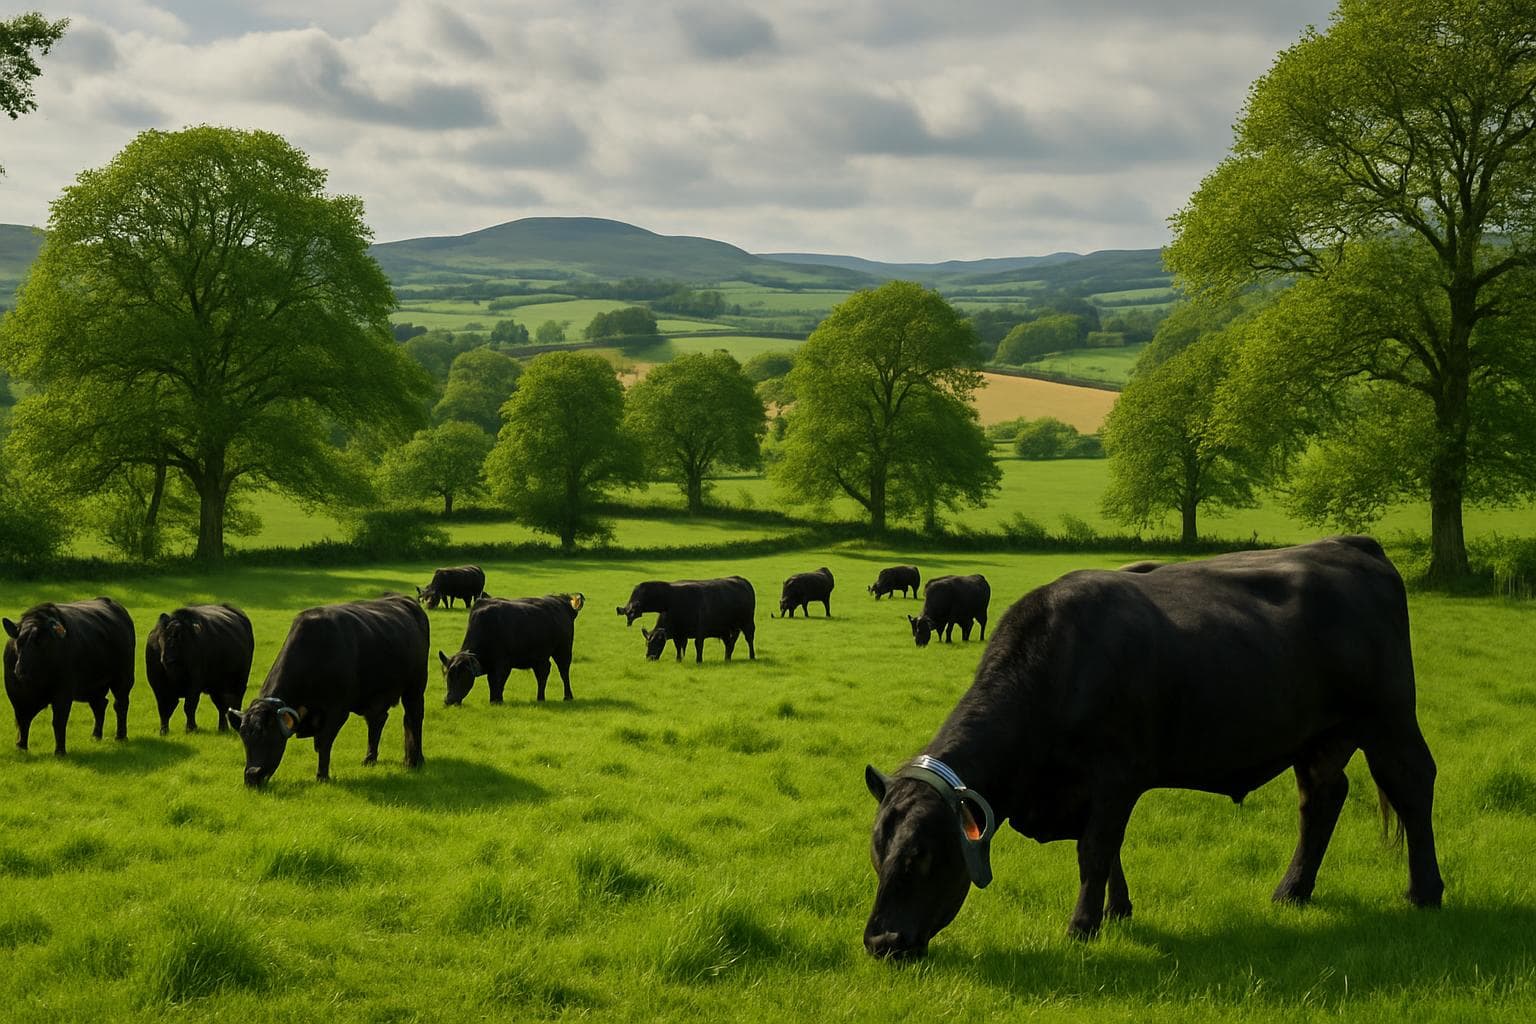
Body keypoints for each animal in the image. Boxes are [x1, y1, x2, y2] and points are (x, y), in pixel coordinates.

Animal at [4, 597, 135, 755]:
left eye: (41, 642)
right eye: (19, 642)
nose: (20, 669)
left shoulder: (63, 692)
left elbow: (59, 721)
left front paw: (60, 751)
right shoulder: (17, 695)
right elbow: (22, 719)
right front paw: (21, 747)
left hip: (124, 678)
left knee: (120, 704)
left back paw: (121, 736)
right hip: (94, 687)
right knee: (100, 705)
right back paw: (96, 736)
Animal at [145, 604, 255, 734]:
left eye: (177, 638)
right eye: (160, 638)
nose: (167, 658)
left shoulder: (194, 685)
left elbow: (189, 706)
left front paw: (191, 728)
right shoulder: (159, 686)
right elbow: (164, 708)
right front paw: (163, 730)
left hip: (239, 682)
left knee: (234, 702)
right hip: (217, 685)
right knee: (221, 705)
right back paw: (223, 728)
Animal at [227, 595, 428, 787]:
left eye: (268, 736)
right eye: (244, 739)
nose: (252, 776)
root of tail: (406, 601)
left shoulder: (337, 711)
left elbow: (323, 743)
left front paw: (322, 776)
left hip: (416, 687)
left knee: (414, 718)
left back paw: (415, 760)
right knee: (377, 721)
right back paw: (370, 759)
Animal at [439, 593, 584, 705]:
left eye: (462, 675)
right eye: (448, 676)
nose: (448, 700)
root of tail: (562, 602)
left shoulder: (503, 664)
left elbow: (498, 681)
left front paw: (497, 700)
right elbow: (492, 682)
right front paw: (493, 700)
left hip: (563, 650)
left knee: (564, 672)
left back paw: (567, 696)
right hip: (539, 657)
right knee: (543, 672)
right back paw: (540, 698)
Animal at [863, 537, 1445, 960]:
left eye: (920, 854)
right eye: (876, 851)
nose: (880, 943)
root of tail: (1352, 545)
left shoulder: (1115, 775)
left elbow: (1095, 850)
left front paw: (1082, 926)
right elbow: (1108, 851)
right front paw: (1117, 911)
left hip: (1388, 717)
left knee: (1412, 783)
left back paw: (1425, 893)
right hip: (1320, 736)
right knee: (1322, 798)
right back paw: (1292, 891)